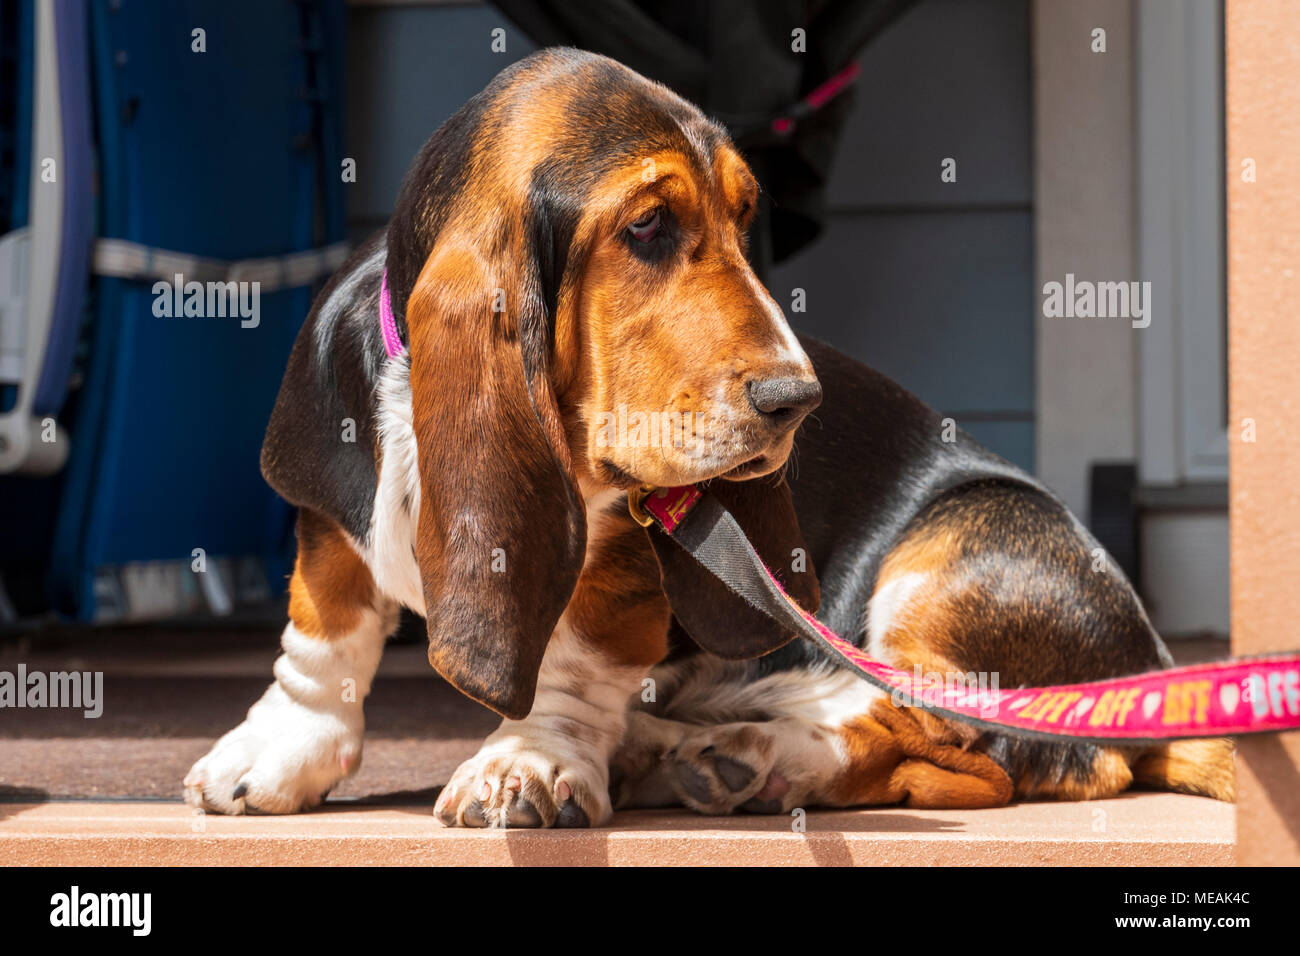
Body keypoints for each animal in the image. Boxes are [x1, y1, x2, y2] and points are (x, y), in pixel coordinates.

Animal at [183, 48, 1227, 827]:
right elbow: (326, 630)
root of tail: (1148, 671)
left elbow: (574, 660)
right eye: (649, 224)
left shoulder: (626, 559)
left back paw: (759, 752)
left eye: (745, 214)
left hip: (950, 555)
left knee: (955, 738)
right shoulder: (329, 513)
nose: (797, 399)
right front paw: (276, 753)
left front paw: (532, 763)